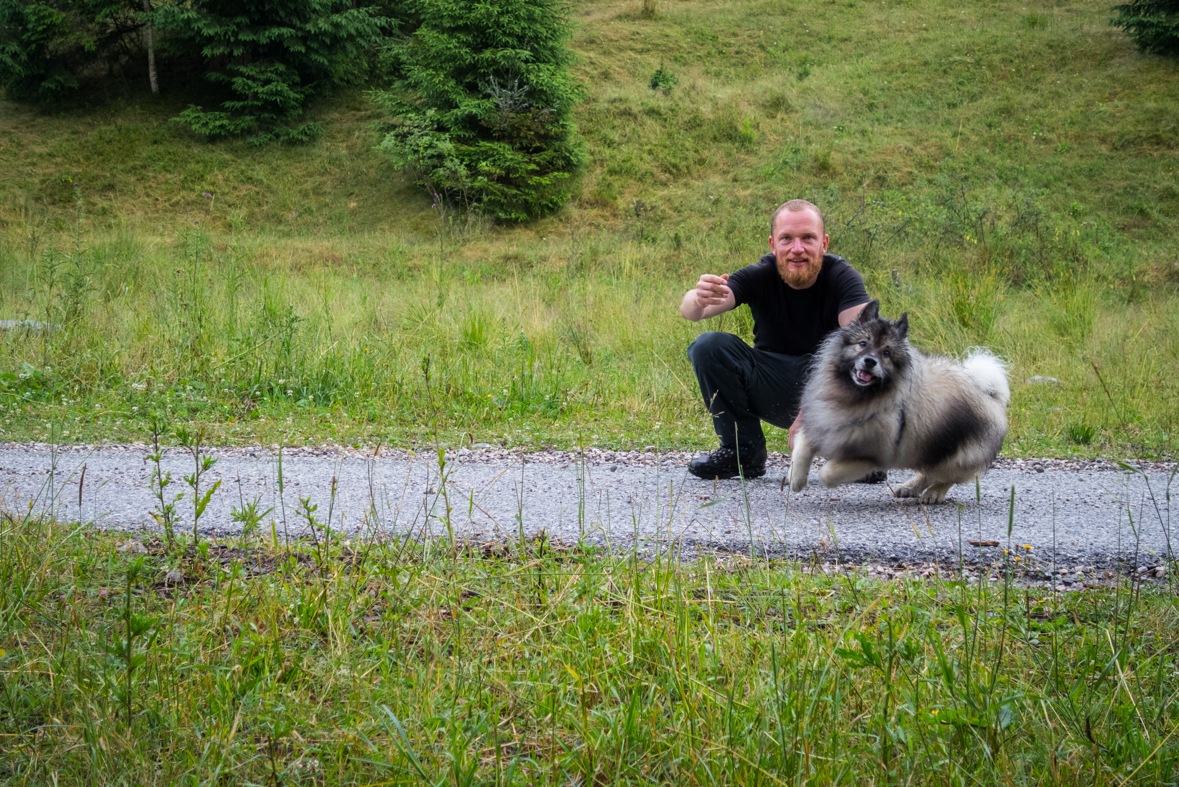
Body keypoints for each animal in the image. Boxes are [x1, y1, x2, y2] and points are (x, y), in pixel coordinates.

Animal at [787, 298, 1009, 506]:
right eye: (863, 343)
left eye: (886, 353)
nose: (870, 361)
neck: (853, 395)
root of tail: (987, 392)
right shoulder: (820, 423)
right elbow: (801, 448)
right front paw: (795, 479)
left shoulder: (871, 456)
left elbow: (828, 472)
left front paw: (825, 478)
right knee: (929, 472)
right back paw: (910, 488)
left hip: (953, 455)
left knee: (947, 477)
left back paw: (934, 493)